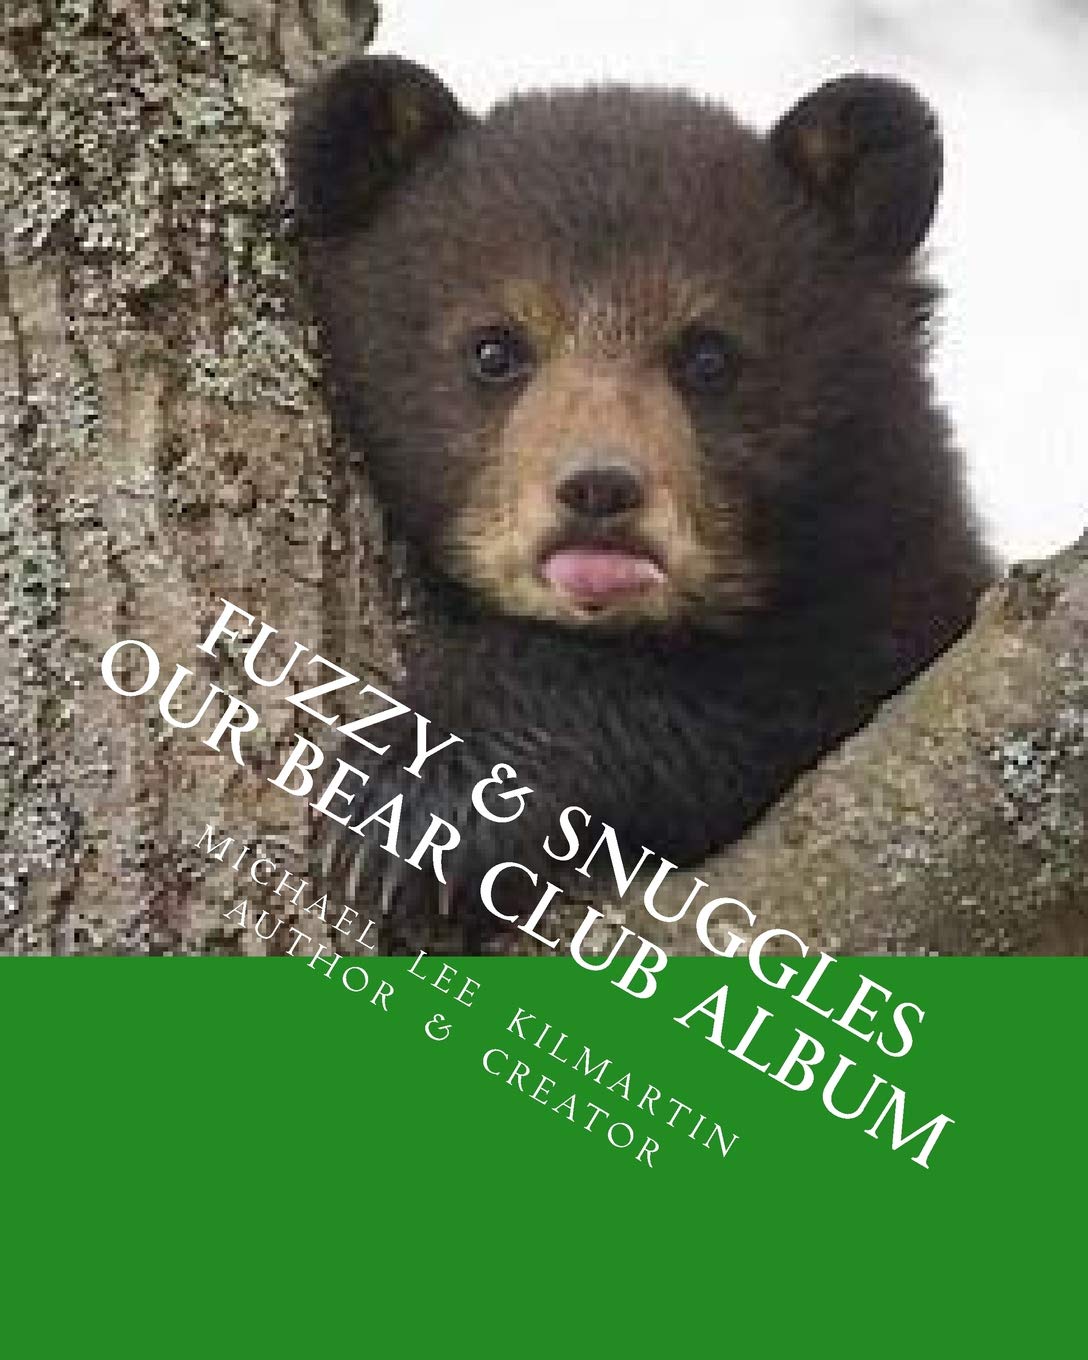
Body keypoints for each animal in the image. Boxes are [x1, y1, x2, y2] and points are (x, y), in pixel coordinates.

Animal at [288, 56, 994, 953]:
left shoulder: (903, 598)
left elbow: (783, 690)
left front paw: (421, 800)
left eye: (708, 354)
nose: (600, 487)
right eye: (494, 349)